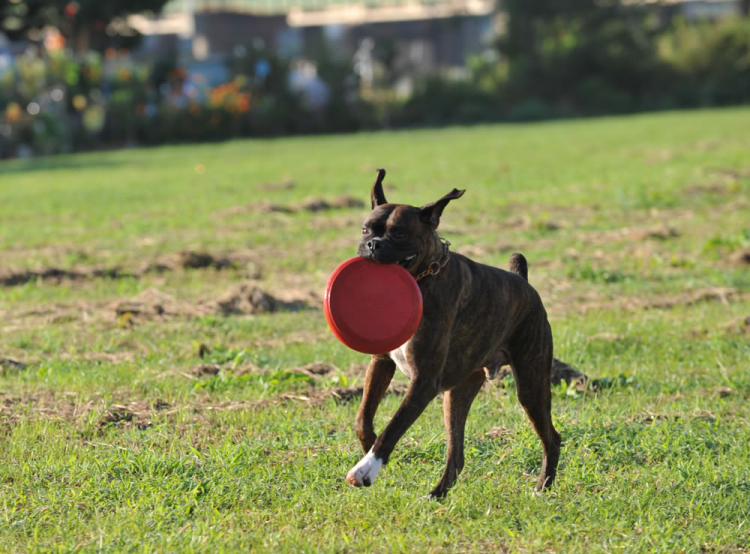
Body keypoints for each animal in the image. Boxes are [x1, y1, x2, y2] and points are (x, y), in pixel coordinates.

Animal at [344, 167, 560, 496]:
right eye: (366, 230)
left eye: (400, 234)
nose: (373, 244)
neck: (423, 277)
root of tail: (522, 281)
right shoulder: (381, 363)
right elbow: (363, 419)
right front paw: (370, 449)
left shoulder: (424, 382)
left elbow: (394, 426)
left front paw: (366, 468)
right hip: (457, 393)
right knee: (456, 454)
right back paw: (436, 495)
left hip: (531, 385)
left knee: (551, 438)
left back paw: (542, 488)